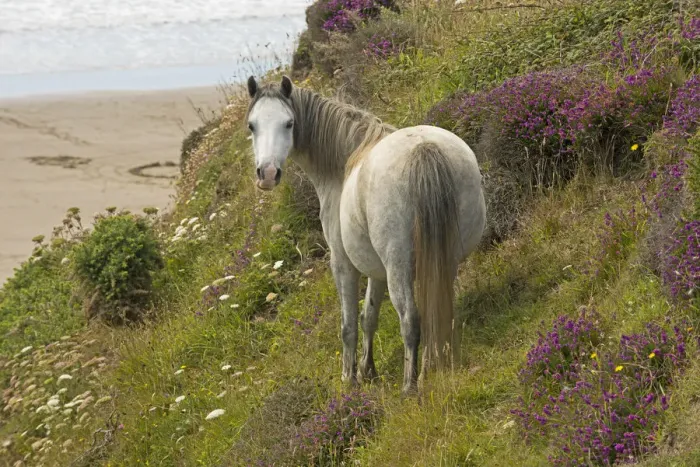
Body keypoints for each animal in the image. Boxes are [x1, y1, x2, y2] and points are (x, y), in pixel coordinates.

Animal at [245, 75, 486, 394]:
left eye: (288, 123)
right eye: (252, 125)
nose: (268, 174)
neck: (344, 162)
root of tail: (424, 149)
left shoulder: (344, 264)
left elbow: (349, 324)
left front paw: (350, 378)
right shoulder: (377, 270)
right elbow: (369, 316)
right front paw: (367, 369)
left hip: (398, 267)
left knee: (410, 318)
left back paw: (410, 385)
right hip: (443, 259)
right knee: (439, 307)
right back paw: (432, 366)